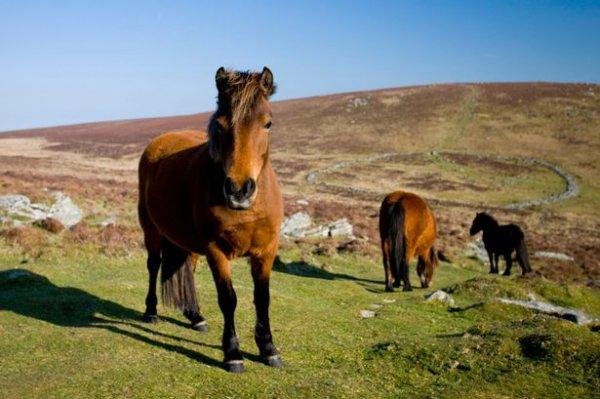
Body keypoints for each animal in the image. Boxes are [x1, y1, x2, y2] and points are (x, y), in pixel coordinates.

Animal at [138, 67, 284, 374]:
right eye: (220, 124)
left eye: (268, 123)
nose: (239, 190)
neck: (248, 209)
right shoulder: (217, 251)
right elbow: (228, 299)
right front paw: (233, 354)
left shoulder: (266, 251)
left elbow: (262, 298)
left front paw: (268, 349)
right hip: (152, 231)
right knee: (154, 265)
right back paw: (151, 312)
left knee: (187, 269)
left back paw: (195, 316)